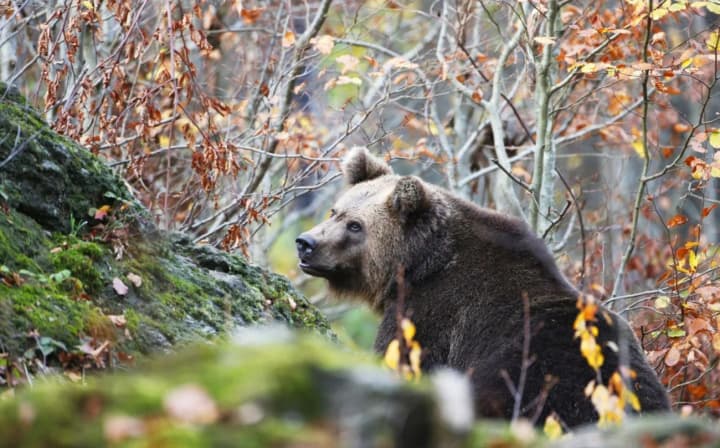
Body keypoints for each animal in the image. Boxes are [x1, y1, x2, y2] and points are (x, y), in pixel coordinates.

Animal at [295, 147, 670, 428]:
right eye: (335, 210)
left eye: (356, 225)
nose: (306, 243)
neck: (418, 265)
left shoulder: (431, 316)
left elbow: (401, 360)